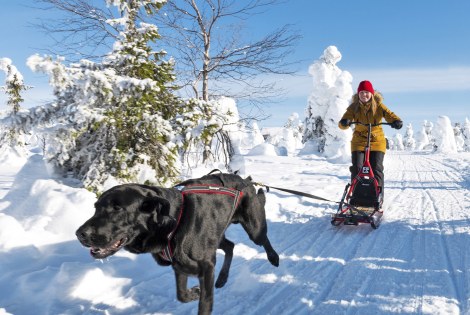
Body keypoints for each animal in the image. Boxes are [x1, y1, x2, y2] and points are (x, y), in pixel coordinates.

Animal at [75, 174, 278, 314]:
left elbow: (205, 303)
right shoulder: (179, 265)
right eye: (96, 208)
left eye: (117, 208)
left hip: (253, 228)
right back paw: (222, 278)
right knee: (230, 246)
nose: (80, 234)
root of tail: (246, 180)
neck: (173, 223)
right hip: (217, 237)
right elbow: (181, 295)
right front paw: (194, 292)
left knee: (263, 239)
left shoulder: (206, 266)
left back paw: (274, 258)